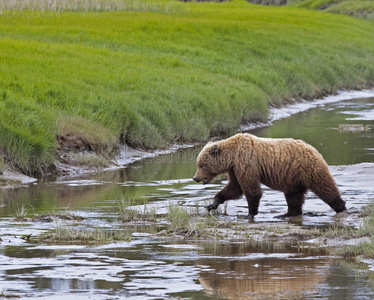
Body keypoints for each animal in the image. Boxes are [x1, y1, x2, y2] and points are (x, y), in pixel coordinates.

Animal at [193, 134, 348, 218]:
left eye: (202, 165)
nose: (195, 178)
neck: (232, 156)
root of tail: (314, 150)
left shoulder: (246, 163)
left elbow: (251, 189)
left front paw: (249, 213)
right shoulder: (235, 168)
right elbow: (234, 188)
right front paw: (212, 204)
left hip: (309, 169)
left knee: (325, 188)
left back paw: (341, 207)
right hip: (293, 178)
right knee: (293, 196)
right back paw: (286, 214)